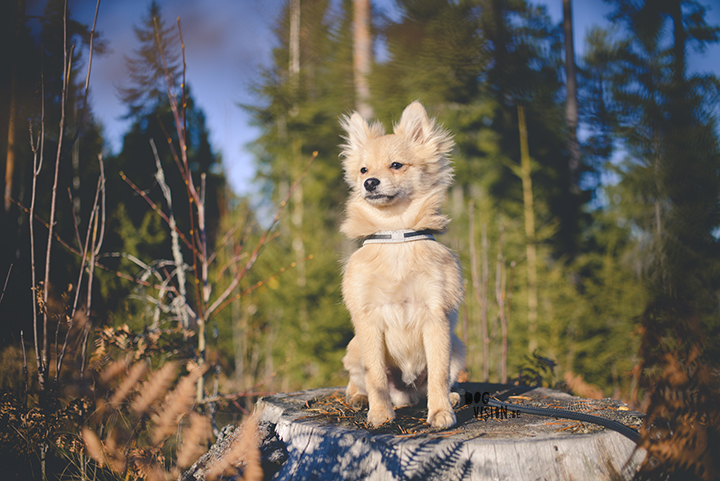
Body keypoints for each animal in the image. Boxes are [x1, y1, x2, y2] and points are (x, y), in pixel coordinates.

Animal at [338, 100, 464, 428]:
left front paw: (441, 411)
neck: (396, 233)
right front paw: (380, 413)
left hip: (458, 346)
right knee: (358, 382)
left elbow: (438, 373)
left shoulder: (436, 317)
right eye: (363, 170)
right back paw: (359, 399)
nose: (369, 182)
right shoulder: (368, 320)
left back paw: (450, 397)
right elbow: (376, 376)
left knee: (431, 385)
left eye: (396, 165)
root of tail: (406, 393)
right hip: (354, 350)